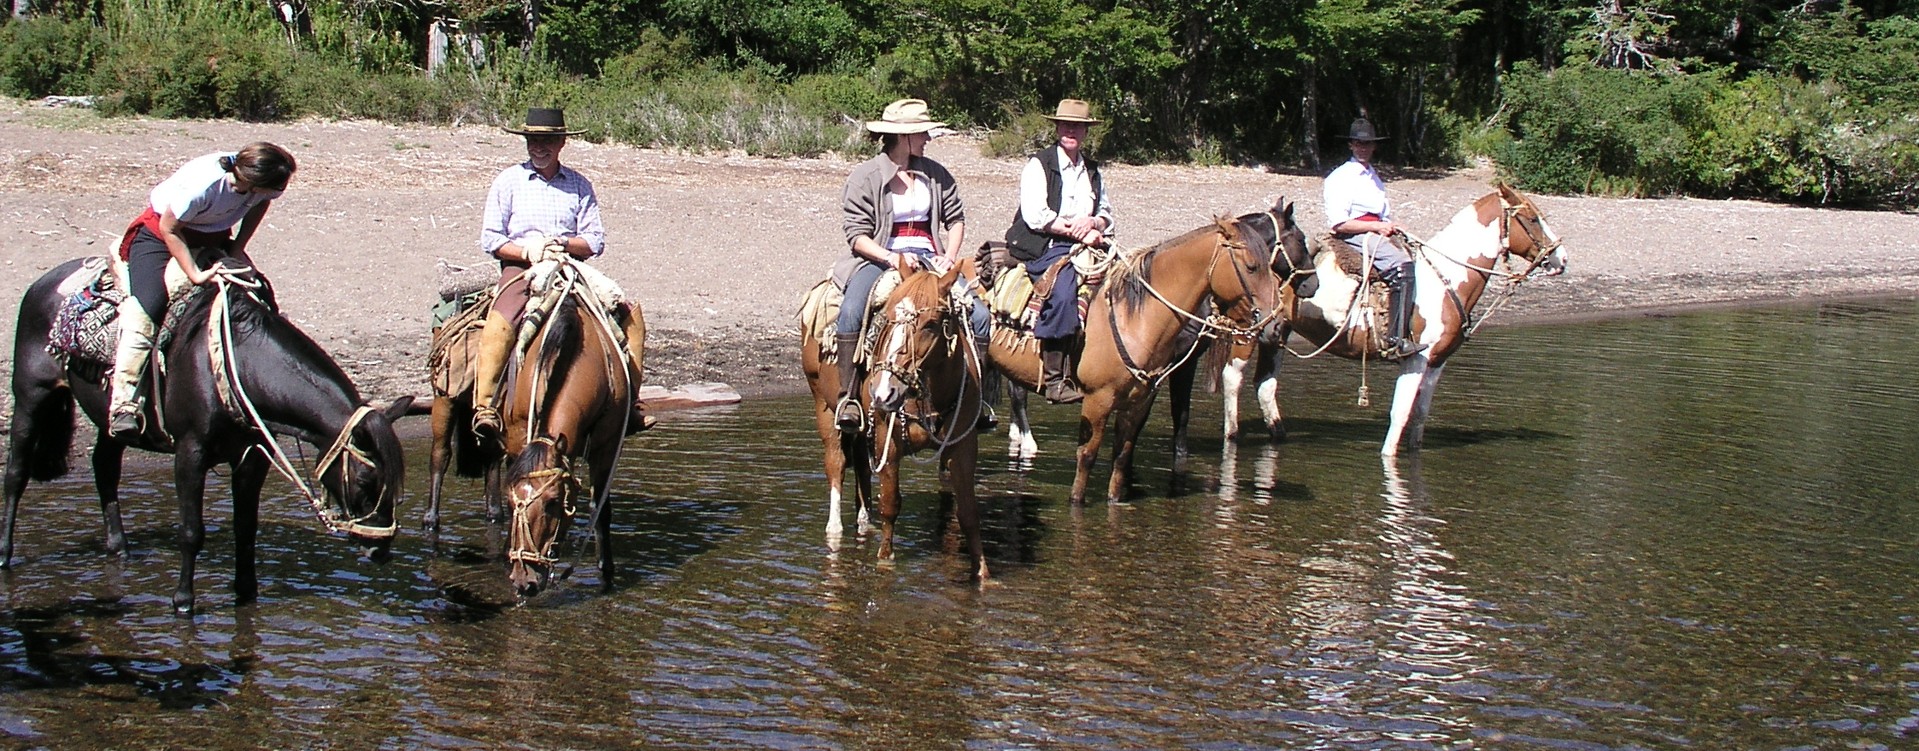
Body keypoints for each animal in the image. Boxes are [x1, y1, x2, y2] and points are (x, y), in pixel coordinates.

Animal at [1, 255, 408, 614]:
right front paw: (183, 602)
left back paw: (119, 547)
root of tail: (44, 283)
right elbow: (191, 531)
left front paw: (246, 593)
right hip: (31, 396)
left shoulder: (254, 457)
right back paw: (5, 556)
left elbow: (246, 527)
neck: (238, 364)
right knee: (16, 473)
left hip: (109, 420)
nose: (381, 551)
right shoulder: (190, 454)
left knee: (104, 466)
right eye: (366, 479)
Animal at [487, 263, 637, 599]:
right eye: (513, 503)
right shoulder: (518, 436)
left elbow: (600, 508)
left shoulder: (606, 446)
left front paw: (606, 575)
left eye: (554, 502)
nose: (525, 581)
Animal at [982, 202, 1312, 503]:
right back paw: (1026, 442)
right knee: (1017, 396)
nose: (1278, 325)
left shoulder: (1139, 400)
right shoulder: (1098, 401)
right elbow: (1087, 458)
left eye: (1268, 264)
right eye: (1251, 266)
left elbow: (1122, 457)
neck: (1135, 317)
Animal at [1220, 185, 1565, 455]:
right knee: (1232, 378)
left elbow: (1420, 417)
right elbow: (1399, 416)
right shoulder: (1415, 359)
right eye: (1532, 219)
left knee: (1265, 385)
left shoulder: (1437, 362)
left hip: (1275, 334)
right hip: (1247, 333)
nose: (1561, 258)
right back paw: (1231, 437)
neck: (1444, 280)